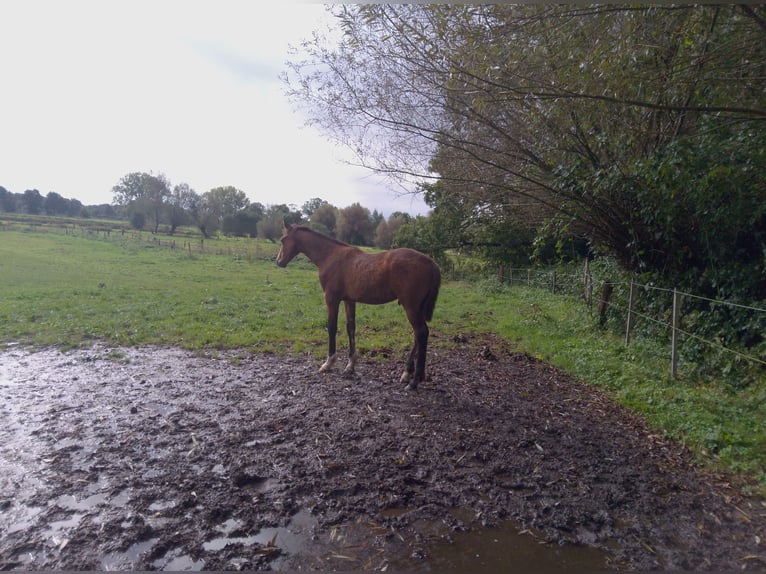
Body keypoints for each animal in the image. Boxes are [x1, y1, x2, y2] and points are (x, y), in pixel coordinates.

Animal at [280, 220, 440, 392]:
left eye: (283, 239)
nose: (279, 261)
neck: (330, 256)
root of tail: (431, 262)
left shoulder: (332, 299)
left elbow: (332, 327)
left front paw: (328, 363)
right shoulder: (349, 300)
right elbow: (351, 327)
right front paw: (350, 365)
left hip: (411, 307)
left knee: (421, 333)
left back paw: (414, 381)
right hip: (417, 308)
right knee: (418, 335)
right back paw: (406, 373)